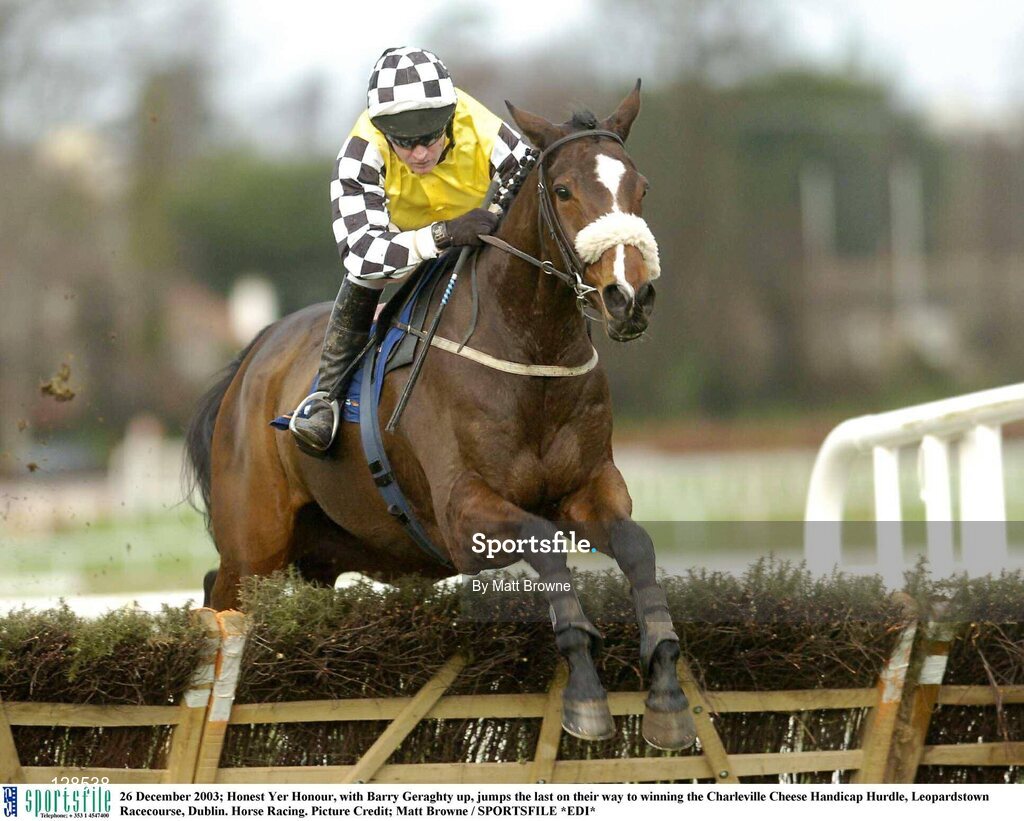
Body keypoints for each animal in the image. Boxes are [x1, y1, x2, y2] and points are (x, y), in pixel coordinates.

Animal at [184, 82, 696, 750]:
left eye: (641, 187)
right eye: (563, 191)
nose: (629, 297)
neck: (528, 353)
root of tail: (253, 355)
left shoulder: (591, 486)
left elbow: (636, 545)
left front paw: (666, 688)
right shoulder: (463, 513)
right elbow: (546, 545)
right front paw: (585, 689)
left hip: (319, 554)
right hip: (254, 545)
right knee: (218, 601)